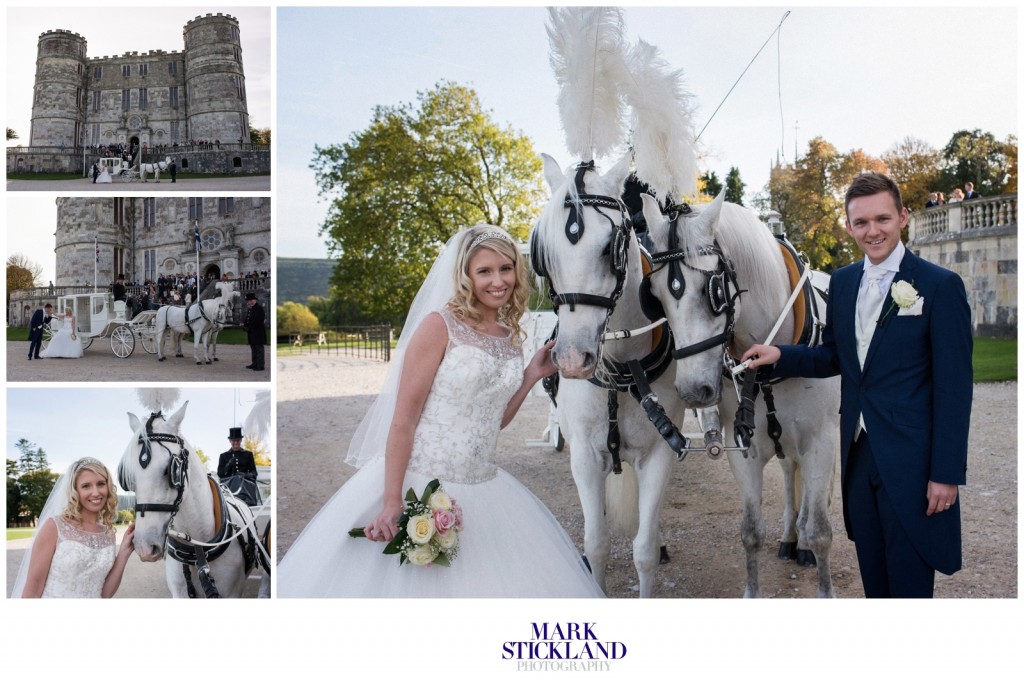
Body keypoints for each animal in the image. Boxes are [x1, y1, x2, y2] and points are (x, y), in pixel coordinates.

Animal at [117, 403, 270, 597]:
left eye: (170, 470)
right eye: (128, 478)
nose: (144, 547)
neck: (197, 551)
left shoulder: (231, 594)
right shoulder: (179, 593)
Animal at [528, 153, 688, 593]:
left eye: (609, 247)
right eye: (544, 254)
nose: (570, 360)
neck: (621, 371)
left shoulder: (659, 455)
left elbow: (644, 551)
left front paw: (654, 548)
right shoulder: (584, 456)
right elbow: (596, 543)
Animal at [643, 192, 843, 597]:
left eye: (715, 291)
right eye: (655, 298)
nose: (693, 390)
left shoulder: (820, 440)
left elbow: (821, 532)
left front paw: (820, 573)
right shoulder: (743, 447)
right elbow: (751, 533)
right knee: (789, 472)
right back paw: (790, 536)